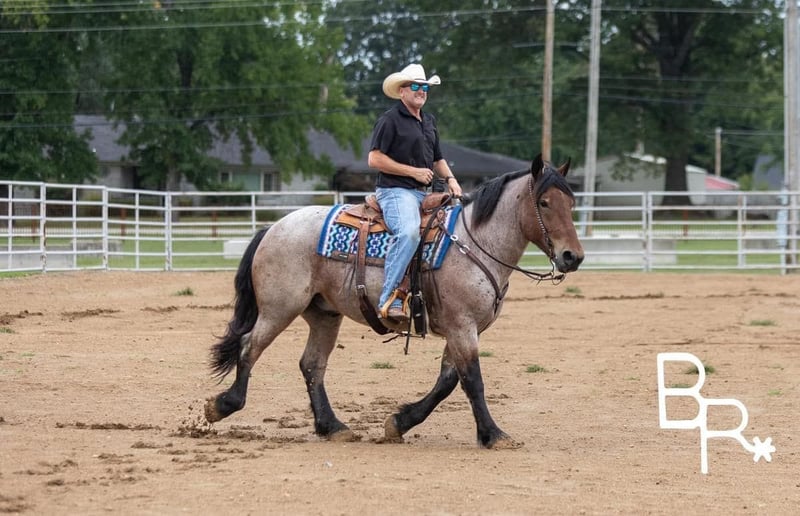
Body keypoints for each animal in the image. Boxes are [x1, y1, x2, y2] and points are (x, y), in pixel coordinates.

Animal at [204, 154, 584, 448]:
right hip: (279, 308)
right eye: (544, 203)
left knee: (312, 365)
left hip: (324, 314)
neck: (475, 242)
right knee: (249, 347)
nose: (573, 256)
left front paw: (399, 422)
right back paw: (222, 406)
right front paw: (493, 434)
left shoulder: (462, 330)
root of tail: (272, 228)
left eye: (571, 203)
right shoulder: (462, 326)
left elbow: (447, 382)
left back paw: (332, 427)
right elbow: (472, 381)